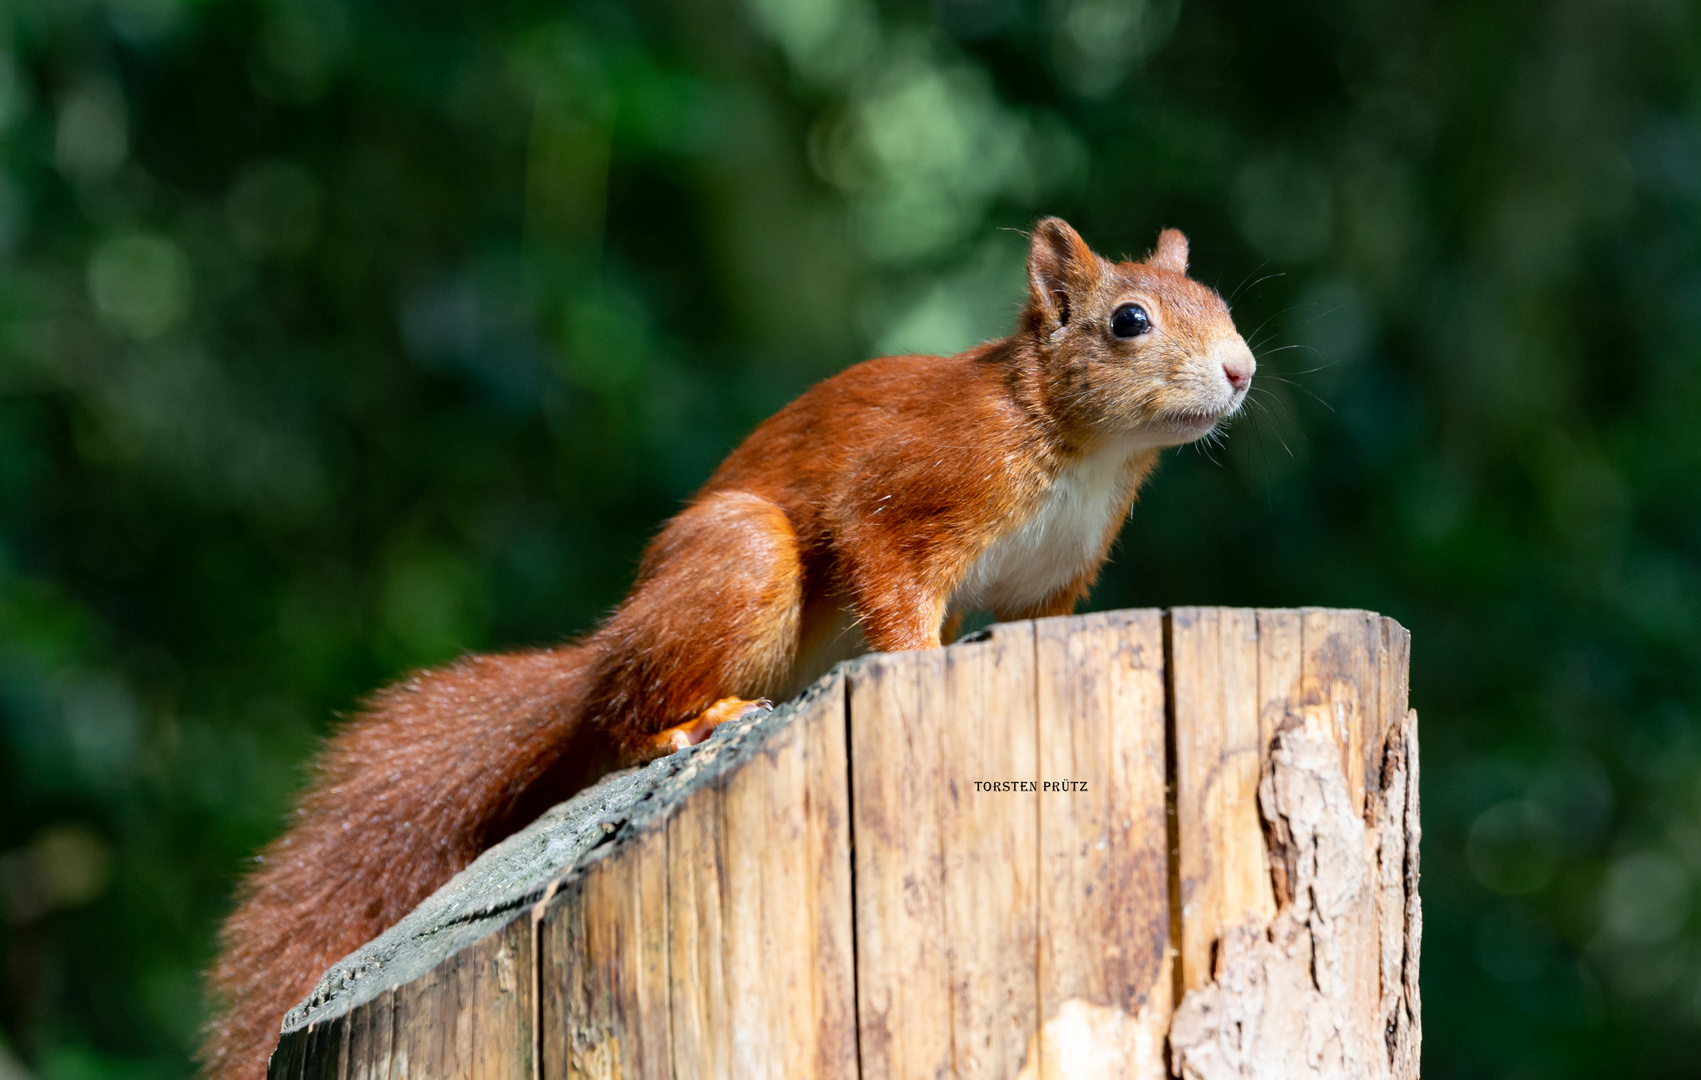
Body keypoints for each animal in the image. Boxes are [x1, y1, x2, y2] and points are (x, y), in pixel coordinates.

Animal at [205, 219, 1258, 1080]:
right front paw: (918, 661)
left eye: (1220, 304)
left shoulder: (1052, 581)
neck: (1083, 450)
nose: (1242, 370)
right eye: (1128, 321)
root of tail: (605, 651)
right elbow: (887, 579)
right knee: (625, 710)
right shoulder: (911, 496)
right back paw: (682, 726)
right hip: (739, 564)